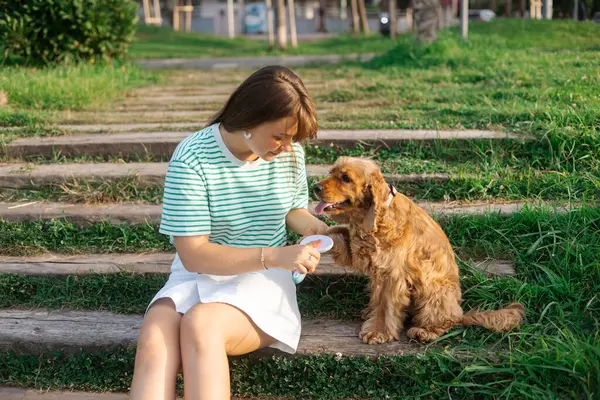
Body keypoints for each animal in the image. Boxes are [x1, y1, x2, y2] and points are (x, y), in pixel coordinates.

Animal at [314, 157, 524, 344]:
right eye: (331, 172)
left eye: (346, 178)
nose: (315, 187)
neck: (375, 217)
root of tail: (461, 312)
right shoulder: (368, 257)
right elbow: (339, 234)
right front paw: (323, 235)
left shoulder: (393, 276)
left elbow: (386, 306)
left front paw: (377, 332)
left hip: (434, 291)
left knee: (448, 321)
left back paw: (425, 332)